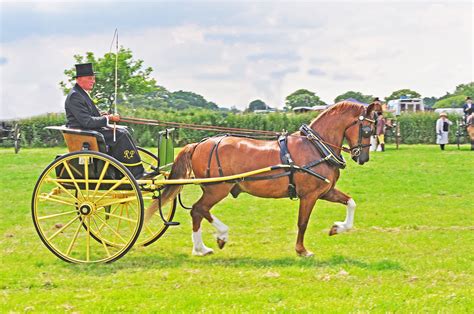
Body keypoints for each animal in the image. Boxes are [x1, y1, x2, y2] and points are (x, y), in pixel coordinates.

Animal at [146, 102, 384, 256]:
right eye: (366, 129)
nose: (363, 157)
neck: (315, 147)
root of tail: (198, 144)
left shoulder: (324, 191)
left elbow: (351, 202)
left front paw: (337, 228)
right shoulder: (309, 195)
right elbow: (303, 222)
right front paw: (302, 250)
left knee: (197, 211)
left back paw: (201, 249)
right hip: (218, 189)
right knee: (199, 209)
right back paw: (220, 236)